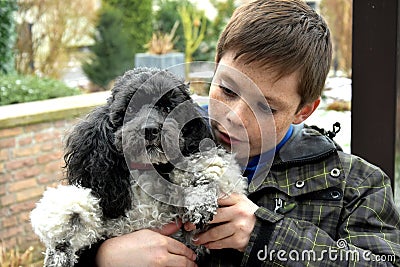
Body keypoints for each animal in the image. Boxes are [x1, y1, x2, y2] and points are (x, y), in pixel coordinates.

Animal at [30, 68, 247, 266]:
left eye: (168, 107)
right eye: (130, 109)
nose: (149, 130)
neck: (147, 170)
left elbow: (203, 167)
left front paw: (200, 201)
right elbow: (73, 208)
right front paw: (60, 250)